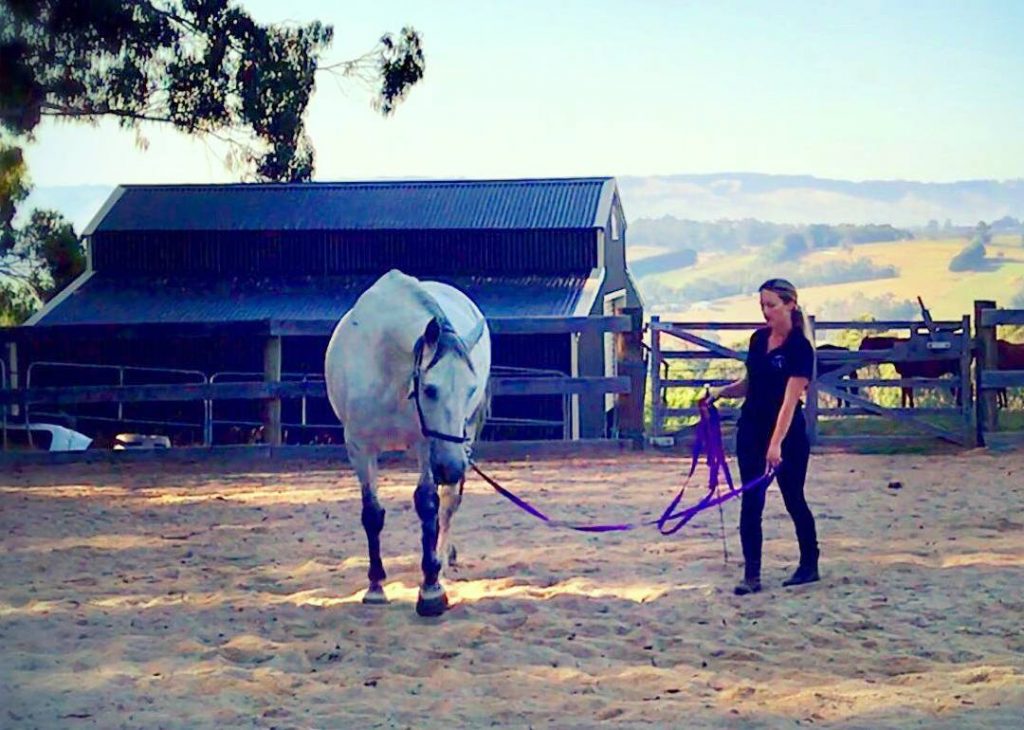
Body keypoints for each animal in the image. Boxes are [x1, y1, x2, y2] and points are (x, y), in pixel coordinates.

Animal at [324, 269, 491, 616]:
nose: (452, 467)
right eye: (429, 389)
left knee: (448, 504)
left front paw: (431, 590)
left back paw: (441, 562)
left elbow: (428, 505)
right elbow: (372, 514)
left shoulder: (426, 445)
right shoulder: (359, 447)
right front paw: (375, 587)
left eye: (470, 388)